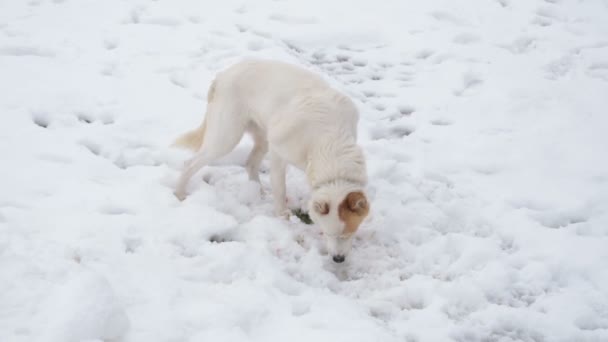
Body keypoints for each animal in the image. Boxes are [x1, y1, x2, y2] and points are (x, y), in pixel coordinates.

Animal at [173, 58, 368, 264]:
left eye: (350, 233)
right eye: (328, 233)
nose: (338, 259)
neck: (328, 140)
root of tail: (222, 75)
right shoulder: (278, 151)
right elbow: (280, 187)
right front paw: (282, 215)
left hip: (261, 136)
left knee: (250, 162)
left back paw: (257, 191)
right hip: (226, 137)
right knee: (190, 163)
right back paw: (179, 194)